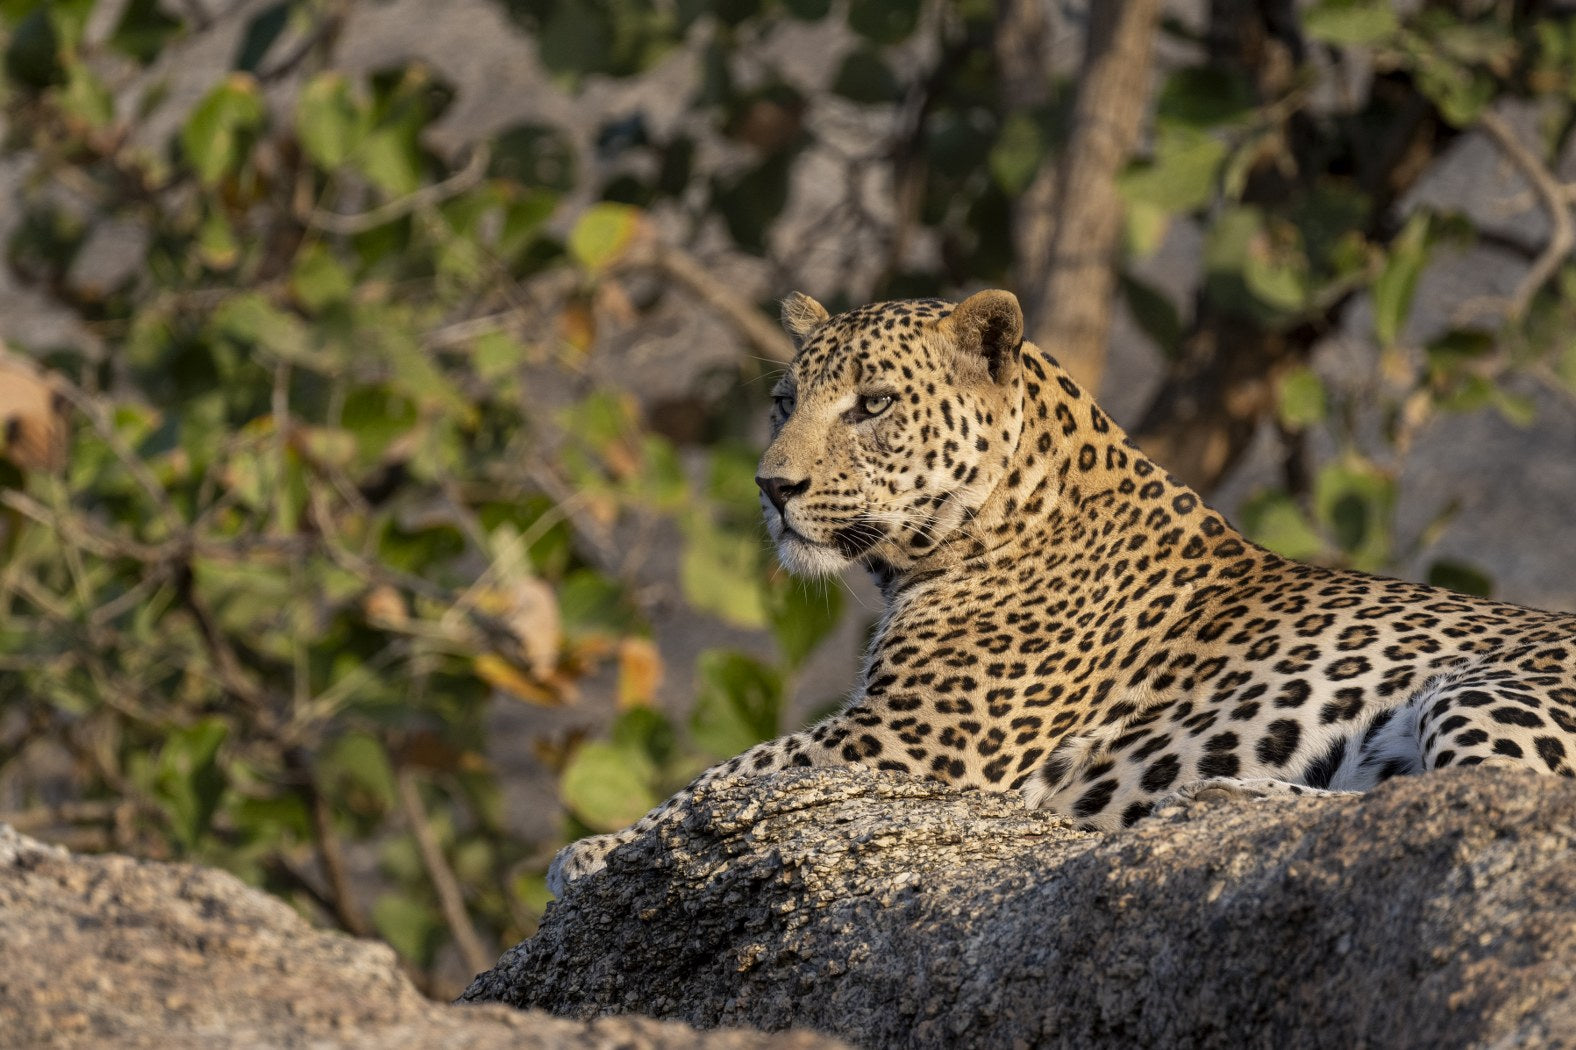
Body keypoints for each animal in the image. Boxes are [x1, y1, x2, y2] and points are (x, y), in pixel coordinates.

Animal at [547, 288, 1576, 895]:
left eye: (873, 405)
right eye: (781, 403)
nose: (772, 487)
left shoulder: (915, 737)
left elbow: (734, 773)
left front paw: (597, 852)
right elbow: (737, 773)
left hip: (1484, 689)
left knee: (1490, 795)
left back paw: (1227, 800)